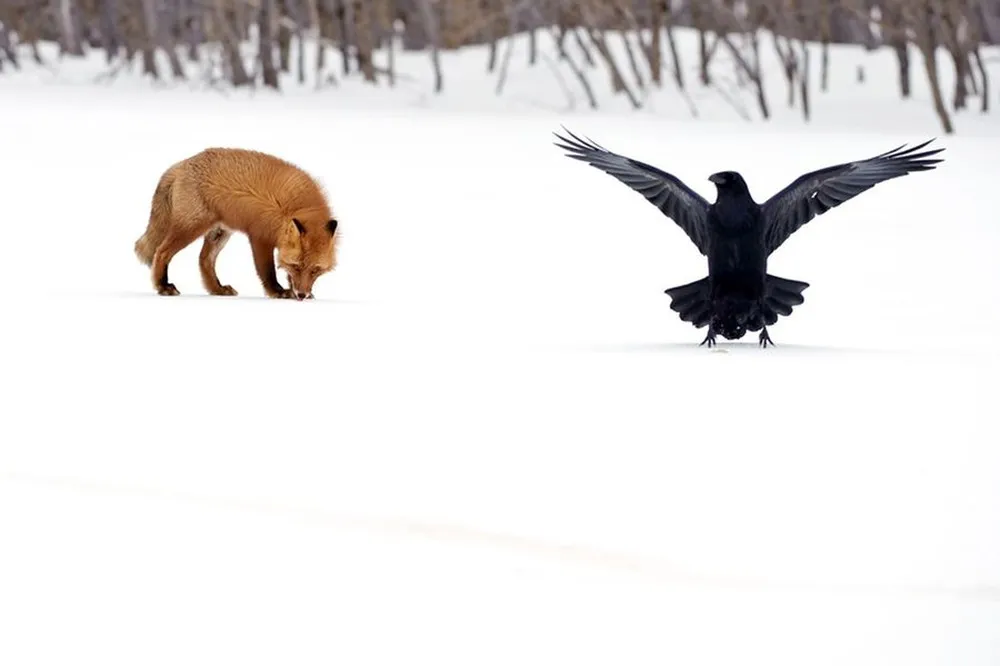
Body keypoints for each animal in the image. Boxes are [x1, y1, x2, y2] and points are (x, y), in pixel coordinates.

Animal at [134, 147, 339, 300]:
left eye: (315, 270)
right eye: (297, 266)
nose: (302, 295)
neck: (291, 208)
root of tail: (181, 164)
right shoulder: (259, 236)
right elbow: (267, 271)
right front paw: (277, 292)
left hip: (219, 233)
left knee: (204, 260)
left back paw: (217, 289)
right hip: (190, 227)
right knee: (161, 252)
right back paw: (163, 286)